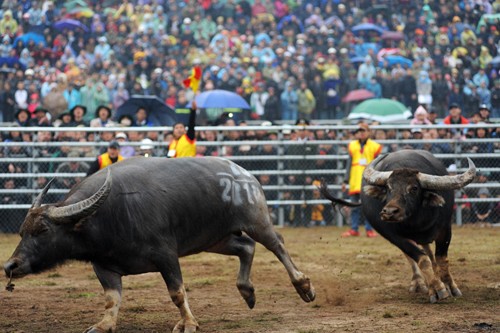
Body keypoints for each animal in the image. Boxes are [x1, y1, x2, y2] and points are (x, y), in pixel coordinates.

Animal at [3, 156, 314, 332]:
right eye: (22, 232)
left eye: (43, 230)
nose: (10, 265)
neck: (107, 216)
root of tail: (245, 174)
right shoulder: (103, 265)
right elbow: (111, 298)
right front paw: (103, 325)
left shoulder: (166, 255)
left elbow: (177, 292)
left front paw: (188, 323)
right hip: (216, 238)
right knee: (246, 247)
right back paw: (247, 292)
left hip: (256, 221)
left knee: (277, 246)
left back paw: (303, 286)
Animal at [320, 149, 476, 302]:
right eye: (389, 187)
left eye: (414, 188)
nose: (389, 212)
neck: (417, 221)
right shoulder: (394, 236)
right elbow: (421, 259)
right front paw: (437, 289)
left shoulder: (445, 229)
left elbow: (441, 259)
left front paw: (450, 286)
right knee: (415, 256)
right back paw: (418, 282)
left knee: (429, 253)